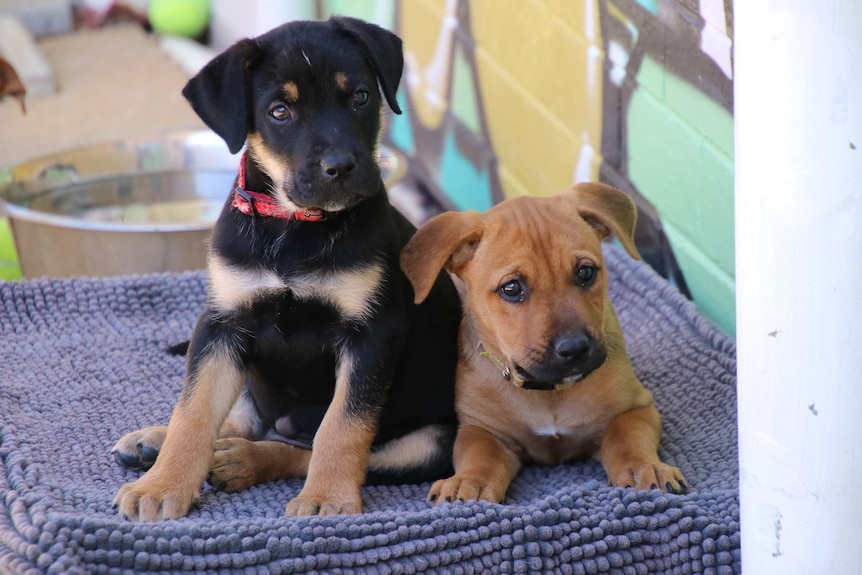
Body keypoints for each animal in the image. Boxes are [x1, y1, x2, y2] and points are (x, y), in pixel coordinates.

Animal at [115, 18, 466, 520]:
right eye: (280, 111)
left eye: (361, 97)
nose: (340, 167)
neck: (293, 226)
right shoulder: (223, 323)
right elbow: (195, 410)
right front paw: (162, 485)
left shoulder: (372, 334)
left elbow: (341, 427)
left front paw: (327, 498)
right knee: (241, 417)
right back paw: (154, 442)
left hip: (432, 440)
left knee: (302, 447)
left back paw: (243, 460)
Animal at [402, 184, 692, 504]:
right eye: (511, 288)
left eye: (586, 272)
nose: (575, 349)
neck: (550, 393)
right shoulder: (483, 429)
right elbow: (480, 455)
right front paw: (469, 482)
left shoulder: (635, 408)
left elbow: (627, 436)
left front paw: (645, 468)